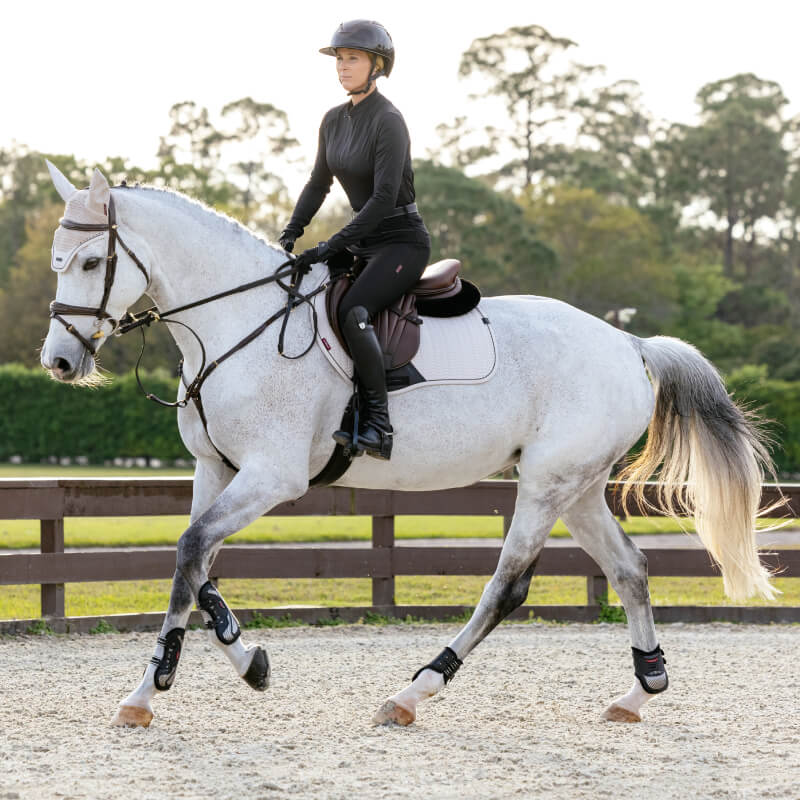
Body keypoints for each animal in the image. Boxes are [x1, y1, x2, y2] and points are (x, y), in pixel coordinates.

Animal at [40, 161, 778, 729]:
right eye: (57, 262)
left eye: (92, 261)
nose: (59, 363)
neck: (237, 321)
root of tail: (628, 341)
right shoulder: (213, 469)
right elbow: (197, 564)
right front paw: (236, 665)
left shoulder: (272, 476)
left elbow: (192, 552)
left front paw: (157, 688)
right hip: (580, 487)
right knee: (629, 570)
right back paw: (639, 690)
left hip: (545, 486)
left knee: (506, 587)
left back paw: (412, 692)